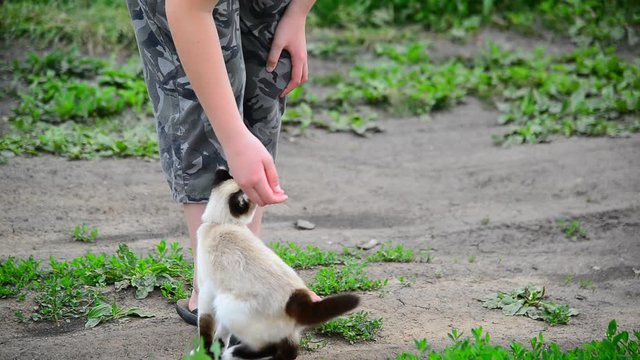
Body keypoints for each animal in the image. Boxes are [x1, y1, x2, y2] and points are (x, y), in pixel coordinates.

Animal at [195, 169, 360, 360]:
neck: (221, 224)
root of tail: (298, 300)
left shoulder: (207, 292)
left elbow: (205, 328)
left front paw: (204, 353)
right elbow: (221, 335)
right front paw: (216, 352)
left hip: (227, 306)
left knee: (269, 347)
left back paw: (235, 353)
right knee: (290, 349)